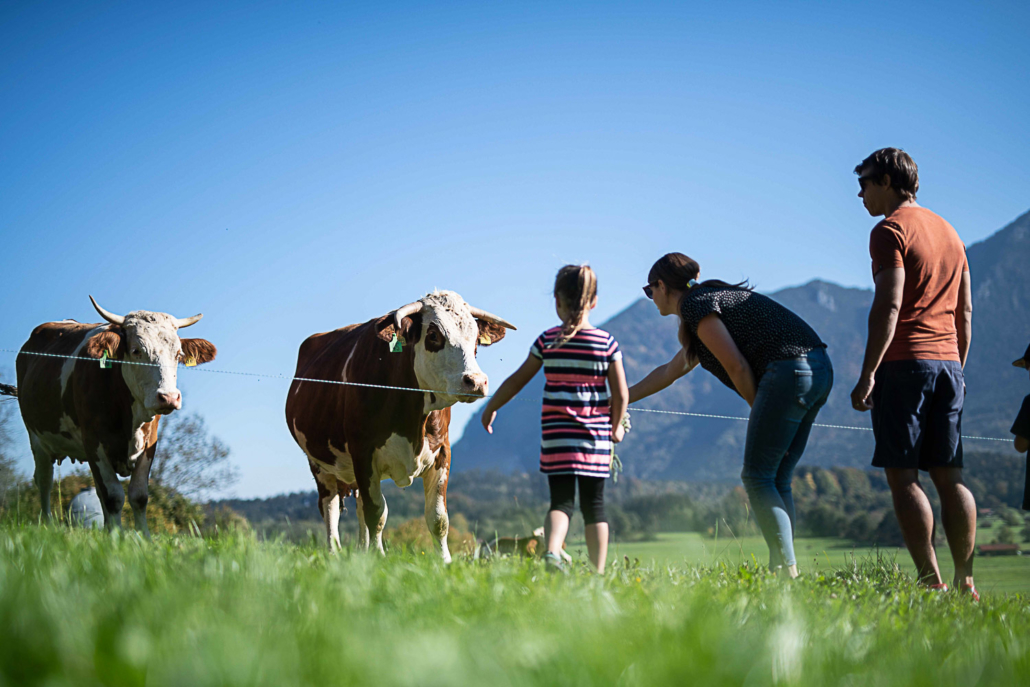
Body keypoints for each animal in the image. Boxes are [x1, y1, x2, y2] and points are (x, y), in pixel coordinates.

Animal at [12, 298, 217, 535]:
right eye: (136, 350)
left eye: (178, 355)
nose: (168, 397)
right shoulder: (94, 442)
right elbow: (113, 496)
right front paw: (116, 538)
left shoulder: (150, 442)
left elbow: (138, 495)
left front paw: (141, 537)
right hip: (36, 437)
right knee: (45, 480)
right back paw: (47, 525)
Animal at [286, 288, 515, 560]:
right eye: (433, 335)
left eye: (477, 340)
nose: (476, 381)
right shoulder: (363, 453)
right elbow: (377, 513)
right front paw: (378, 557)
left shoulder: (443, 451)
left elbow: (438, 518)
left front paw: (445, 561)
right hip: (319, 465)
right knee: (329, 507)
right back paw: (335, 553)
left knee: (359, 506)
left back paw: (361, 552)